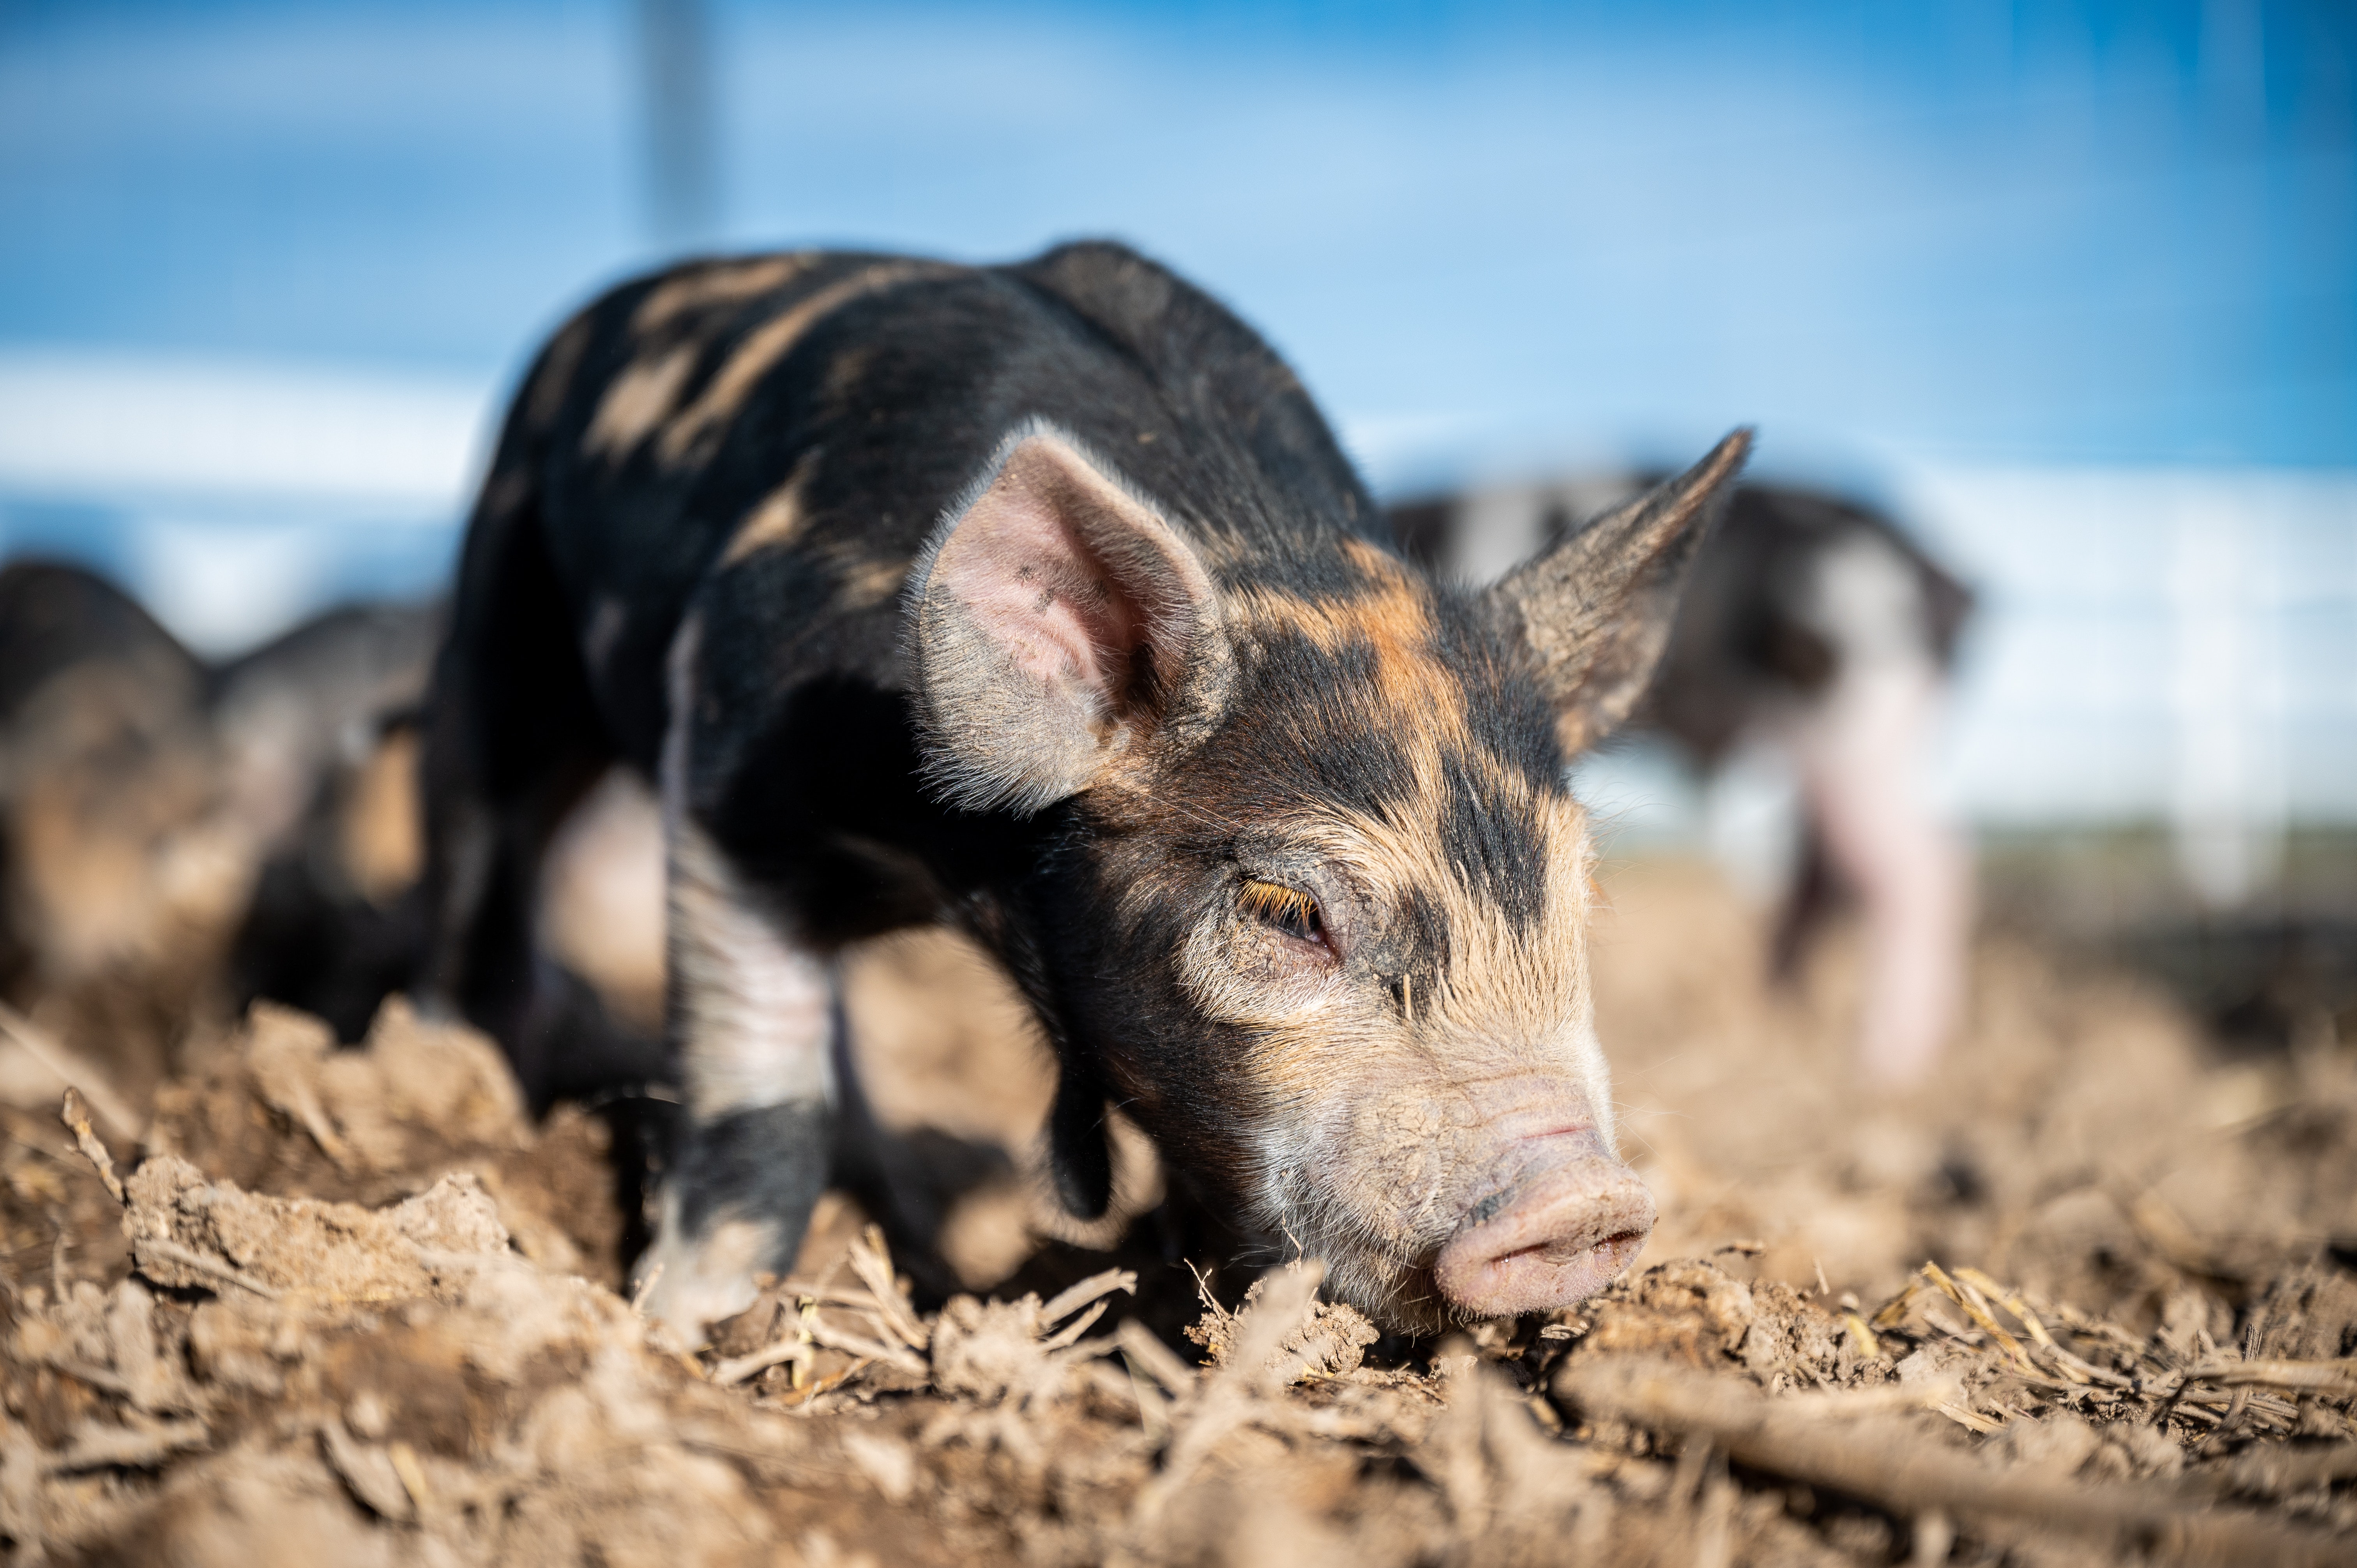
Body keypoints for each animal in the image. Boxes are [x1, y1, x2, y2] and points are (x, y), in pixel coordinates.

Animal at [419, 238, 1753, 1339]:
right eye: (1286, 912)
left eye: (1579, 895)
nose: (1585, 1204)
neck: (970, 883)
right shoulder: (728, 752)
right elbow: (761, 1087)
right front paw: (683, 1324)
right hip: (499, 613)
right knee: (483, 849)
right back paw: (448, 1069)